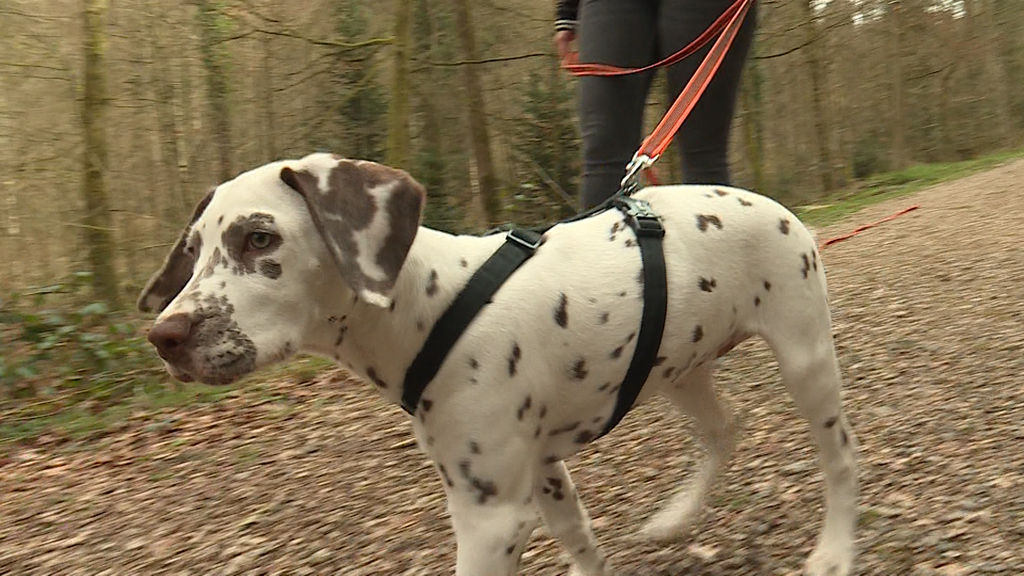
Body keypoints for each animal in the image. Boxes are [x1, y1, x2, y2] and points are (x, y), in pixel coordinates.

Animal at [136, 151, 856, 573]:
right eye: (193, 250)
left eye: (260, 238)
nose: (163, 336)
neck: (429, 305)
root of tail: (768, 203)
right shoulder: (542, 475)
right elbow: (582, 545)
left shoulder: (491, 515)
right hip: (679, 370)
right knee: (723, 431)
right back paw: (679, 515)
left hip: (806, 359)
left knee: (841, 459)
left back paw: (834, 550)